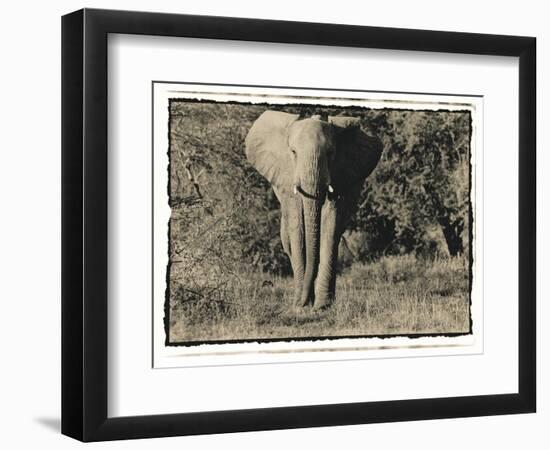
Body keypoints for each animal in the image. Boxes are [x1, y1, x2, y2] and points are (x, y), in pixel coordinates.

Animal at [246, 111, 384, 310]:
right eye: (293, 152)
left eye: (331, 153)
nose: (305, 302)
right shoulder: (287, 177)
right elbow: (297, 226)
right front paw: (301, 304)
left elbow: (330, 221)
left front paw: (321, 306)